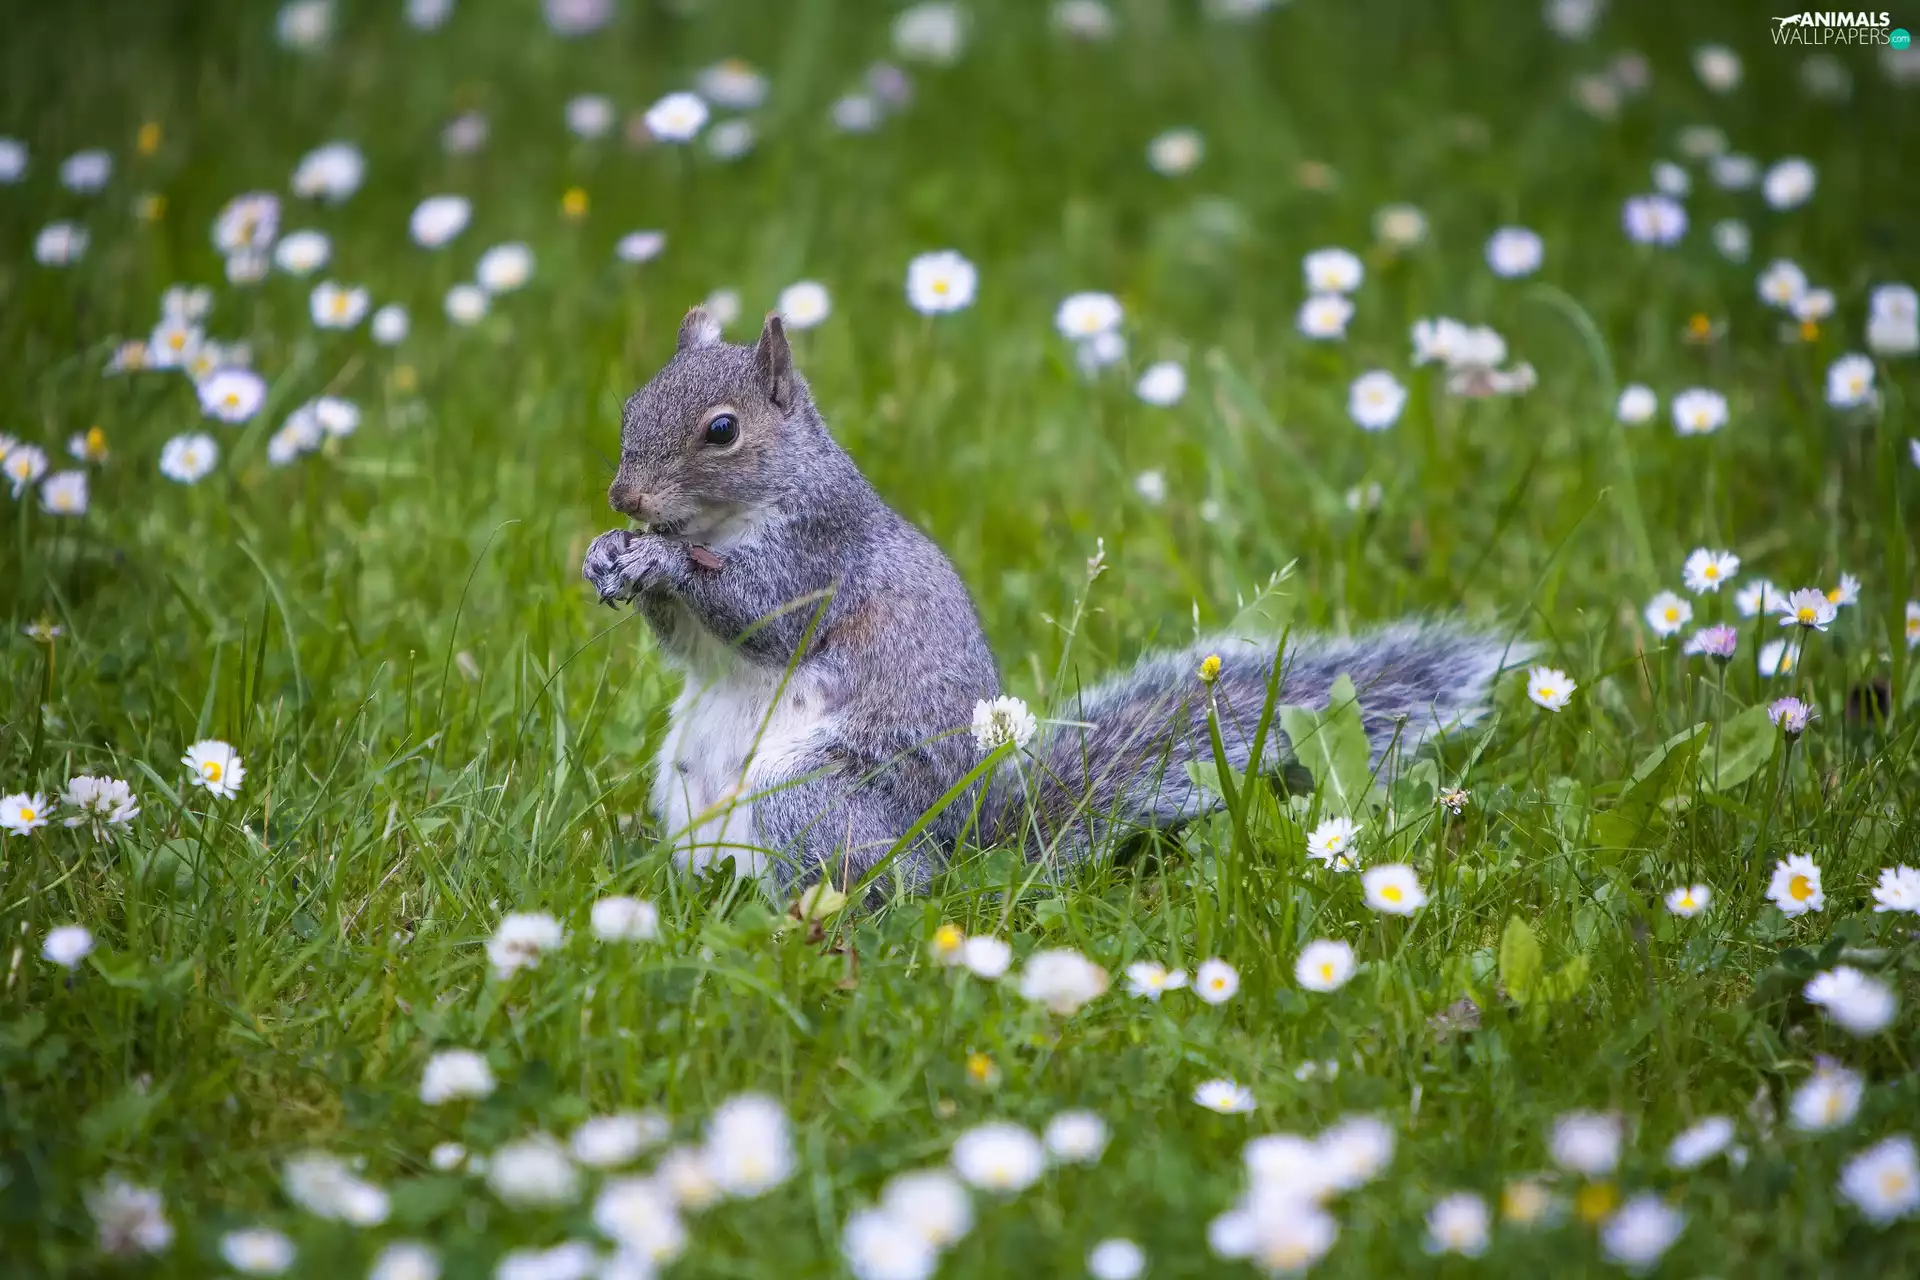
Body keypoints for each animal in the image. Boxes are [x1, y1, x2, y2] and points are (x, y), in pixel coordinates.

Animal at [583, 308, 1525, 897]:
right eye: (629, 402)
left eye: (722, 430)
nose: (624, 498)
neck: (727, 517)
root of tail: (952, 854)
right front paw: (606, 556)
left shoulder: (820, 552)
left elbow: (764, 611)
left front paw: (660, 558)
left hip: (810, 799)